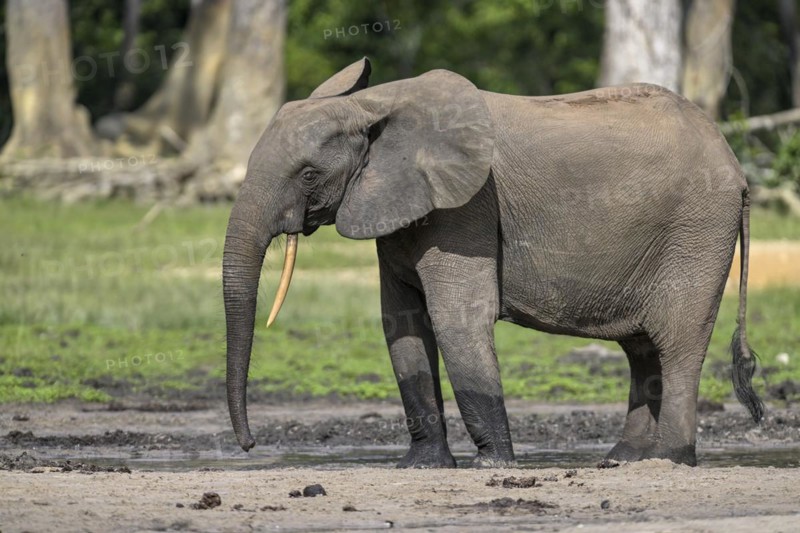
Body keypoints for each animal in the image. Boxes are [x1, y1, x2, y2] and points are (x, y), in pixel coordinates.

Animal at [223, 57, 764, 468]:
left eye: (308, 175)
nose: (249, 445)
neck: (374, 103)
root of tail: (738, 168)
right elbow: (402, 325)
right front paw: (422, 466)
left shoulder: (467, 207)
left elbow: (456, 320)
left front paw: (493, 464)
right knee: (642, 347)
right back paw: (623, 459)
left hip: (696, 230)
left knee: (677, 341)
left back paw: (669, 459)